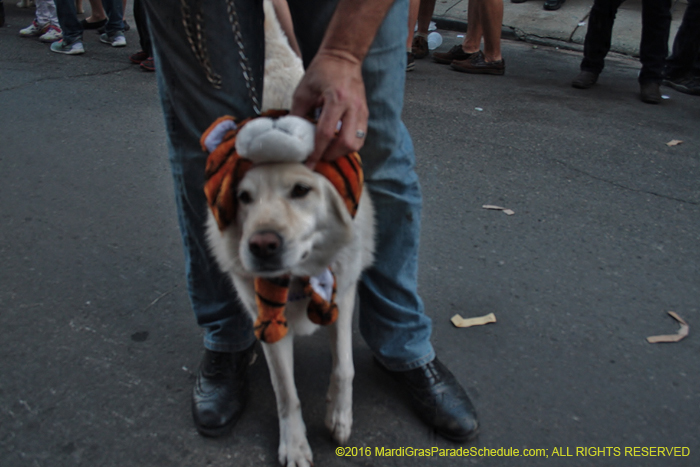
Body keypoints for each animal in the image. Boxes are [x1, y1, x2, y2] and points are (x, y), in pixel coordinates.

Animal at [202, 1, 374, 466]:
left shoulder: (343, 291)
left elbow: (345, 366)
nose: (262, 246)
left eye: (301, 190)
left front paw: (339, 415)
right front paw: (294, 443)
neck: (301, 279)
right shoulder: (267, 322)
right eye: (243, 198)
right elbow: (286, 393)